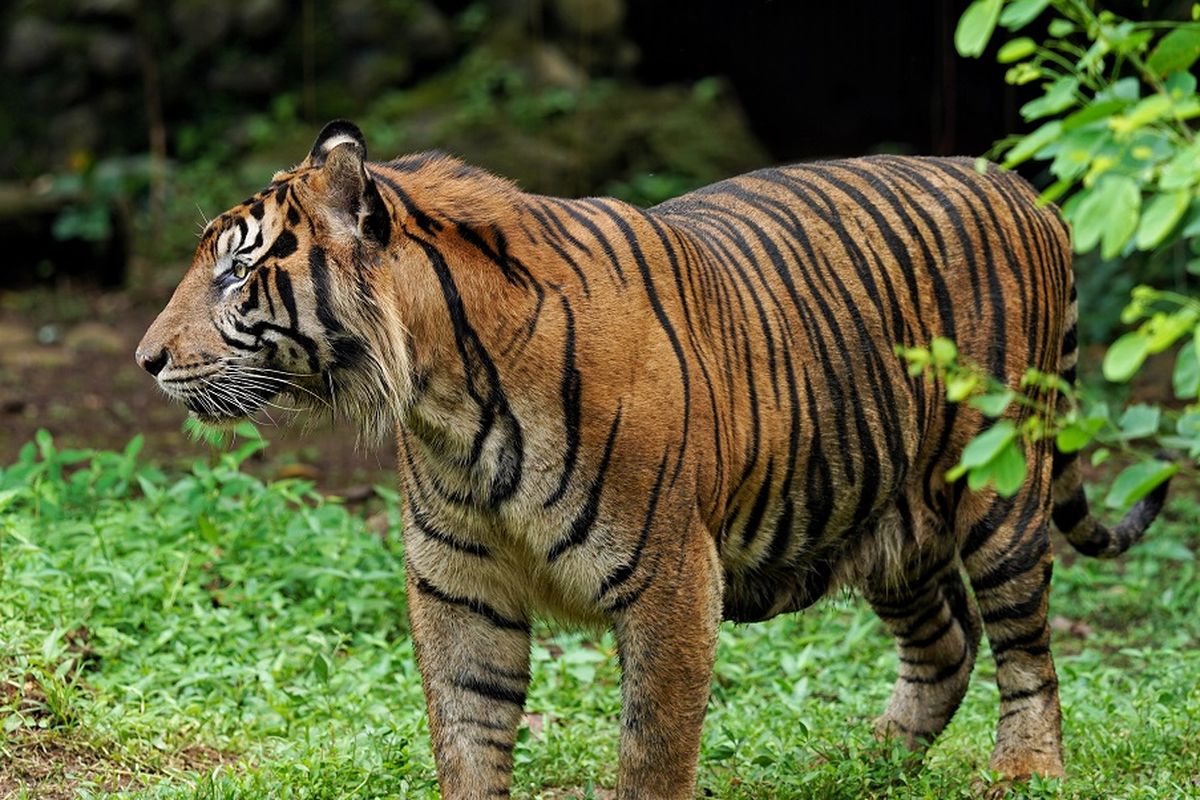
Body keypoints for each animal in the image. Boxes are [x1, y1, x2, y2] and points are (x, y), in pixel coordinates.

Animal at [136, 120, 1166, 800]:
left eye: (236, 271)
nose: (146, 359)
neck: (444, 394)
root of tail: (1023, 187)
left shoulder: (671, 573)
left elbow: (653, 748)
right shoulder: (458, 583)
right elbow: (466, 731)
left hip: (999, 488)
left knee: (1024, 645)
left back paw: (1024, 771)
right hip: (879, 510)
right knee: (945, 641)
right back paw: (861, 764)